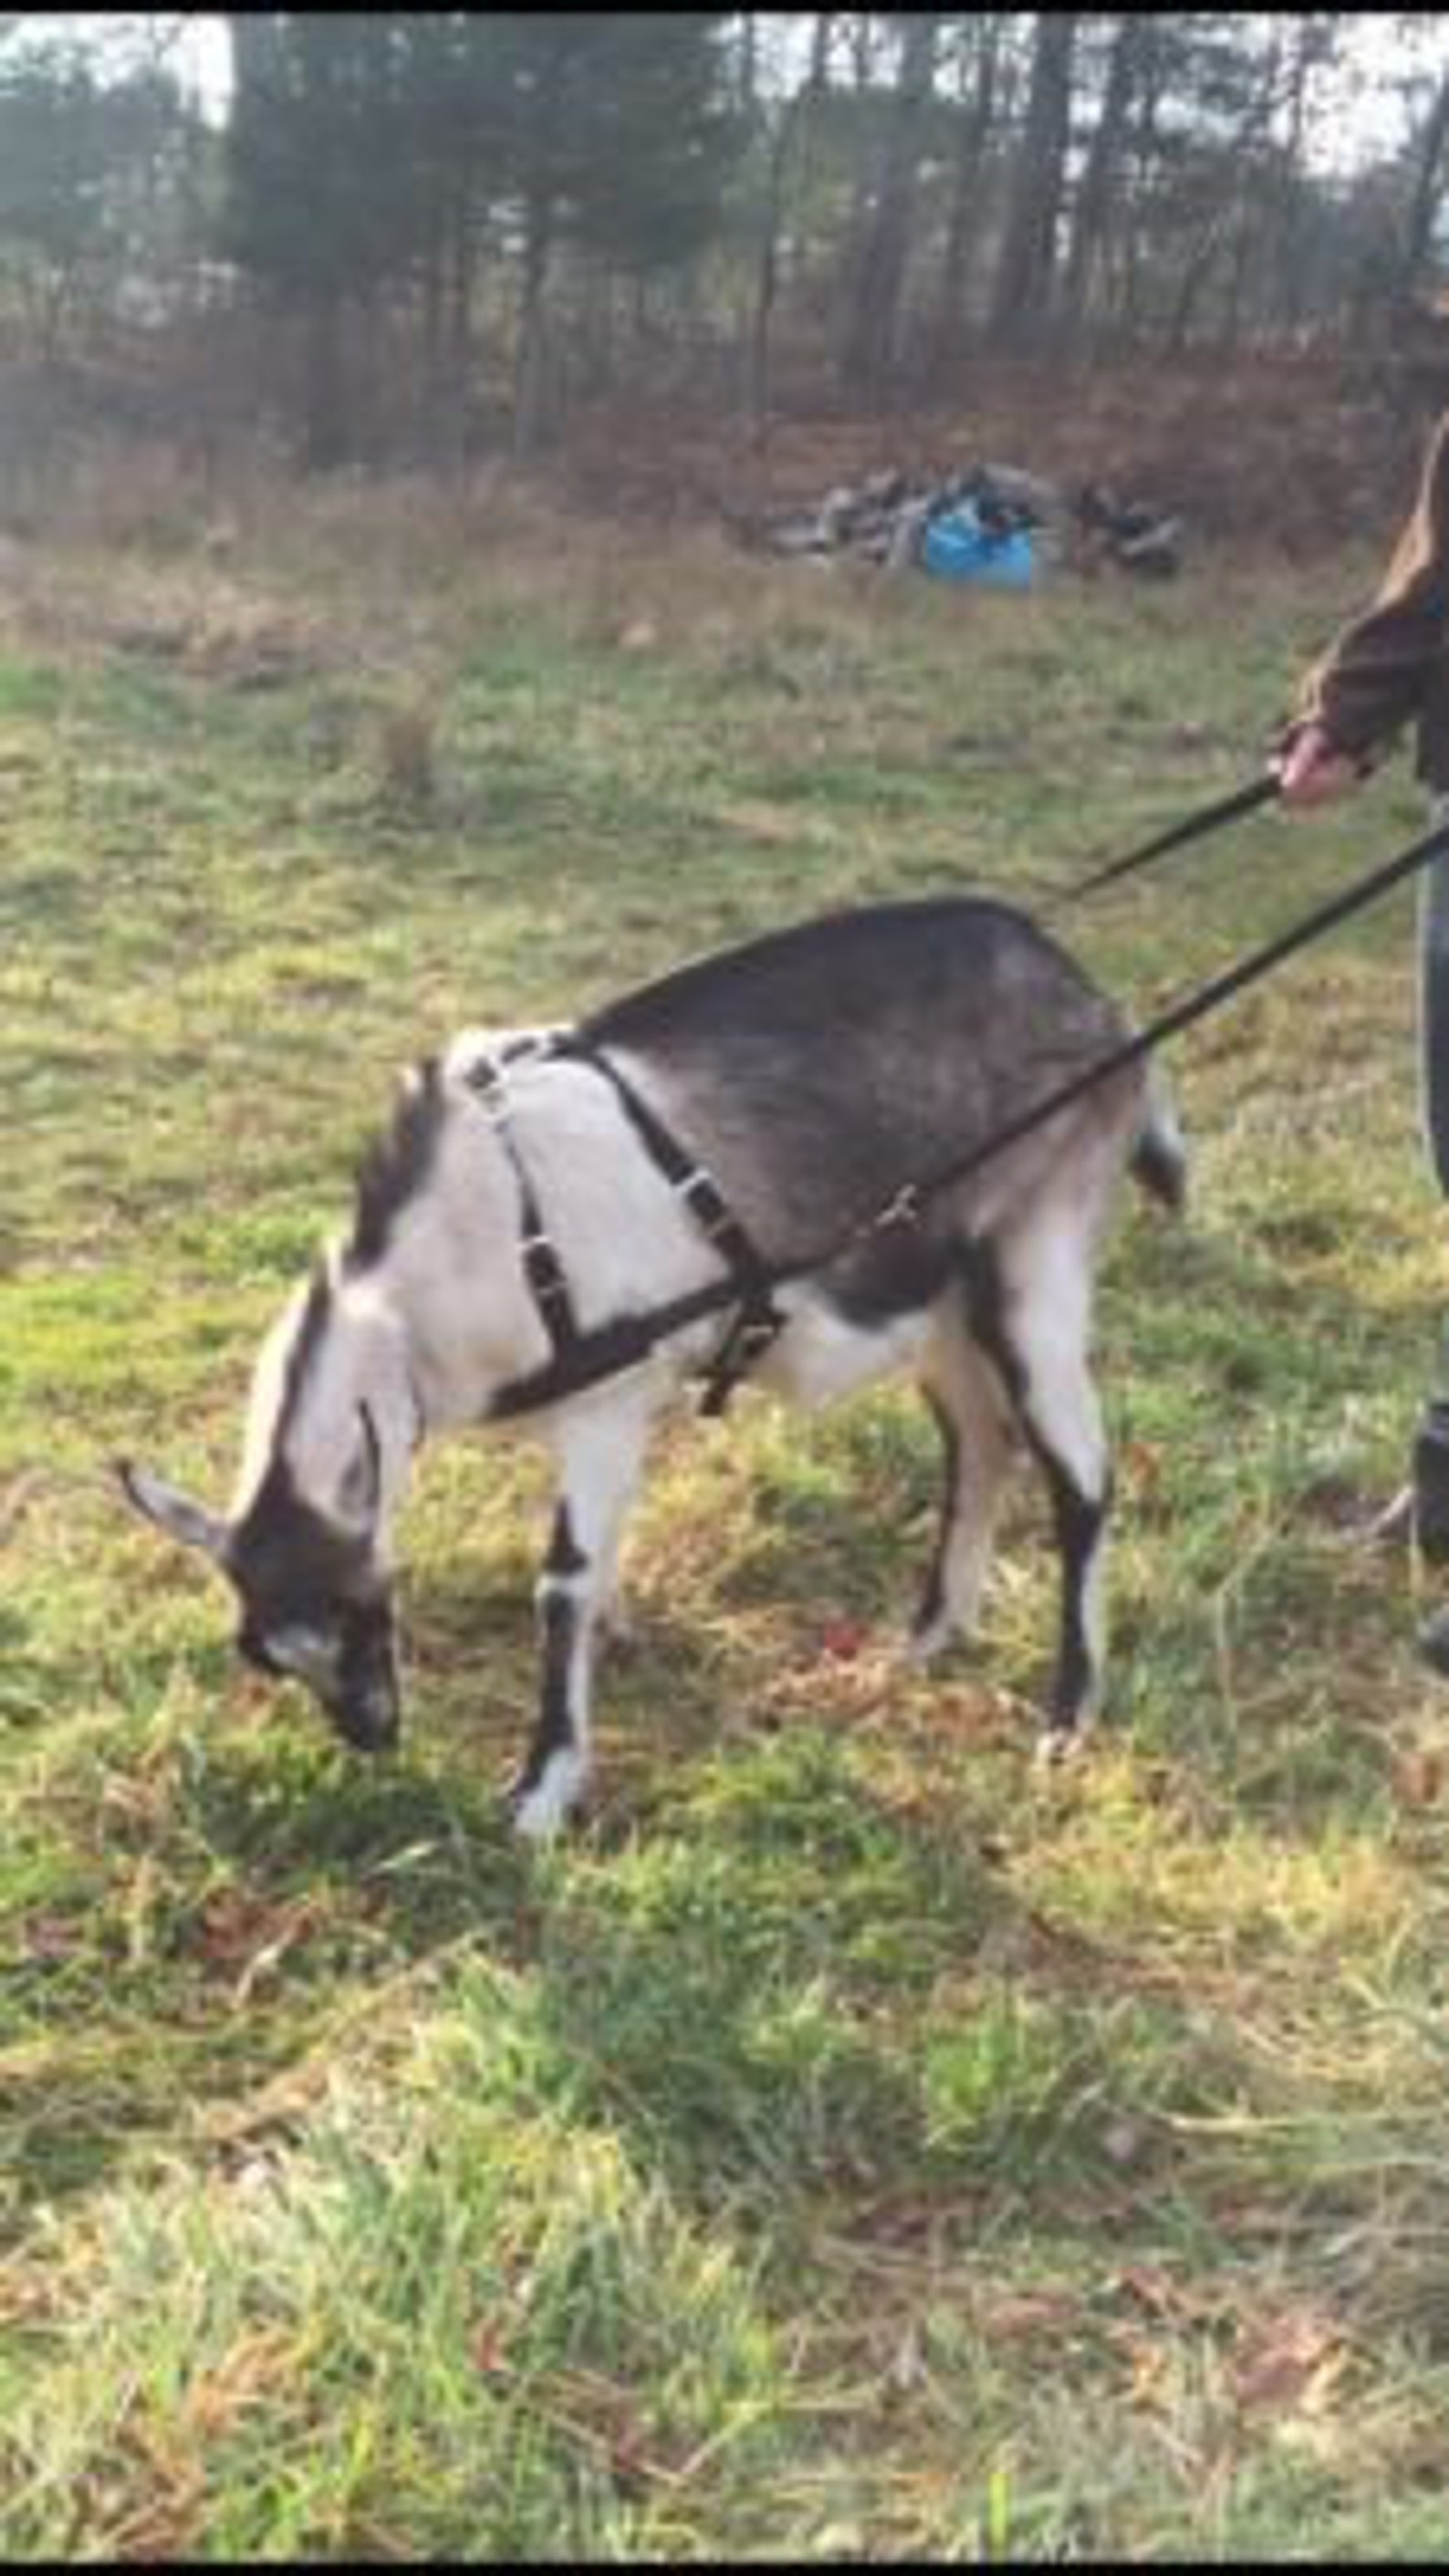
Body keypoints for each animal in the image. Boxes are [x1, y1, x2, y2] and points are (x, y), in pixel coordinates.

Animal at [118, 895, 1185, 1838]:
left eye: (358, 1607)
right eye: (266, 1655)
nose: (374, 1735)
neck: (446, 1259)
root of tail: (1092, 997)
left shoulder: (610, 1400)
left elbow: (560, 1582)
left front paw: (542, 1791)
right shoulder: (593, 1414)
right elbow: (594, 1563)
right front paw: (617, 1639)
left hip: (1035, 1272)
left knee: (1080, 1480)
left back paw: (1067, 1719)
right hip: (944, 1305)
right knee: (980, 1441)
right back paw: (928, 1639)